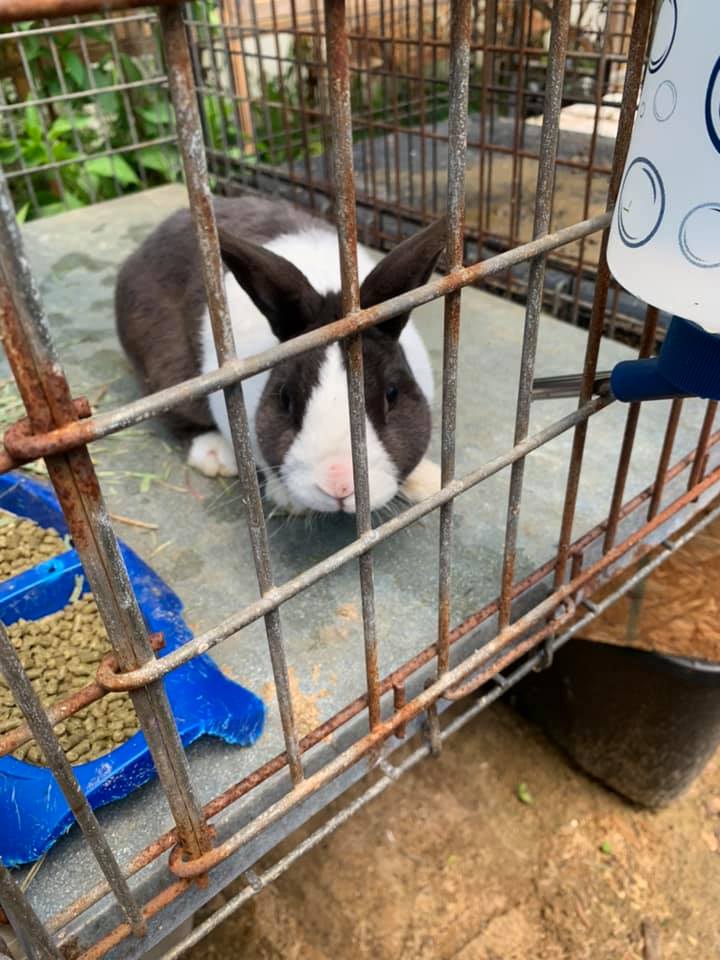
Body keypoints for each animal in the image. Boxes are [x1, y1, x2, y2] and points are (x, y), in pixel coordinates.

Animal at [115, 194, 445, 515]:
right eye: (285, 398)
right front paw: (288, 502)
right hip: (164, 368)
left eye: (392, 394)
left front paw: (429, 483)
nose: (338, 485)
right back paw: (214, 455)